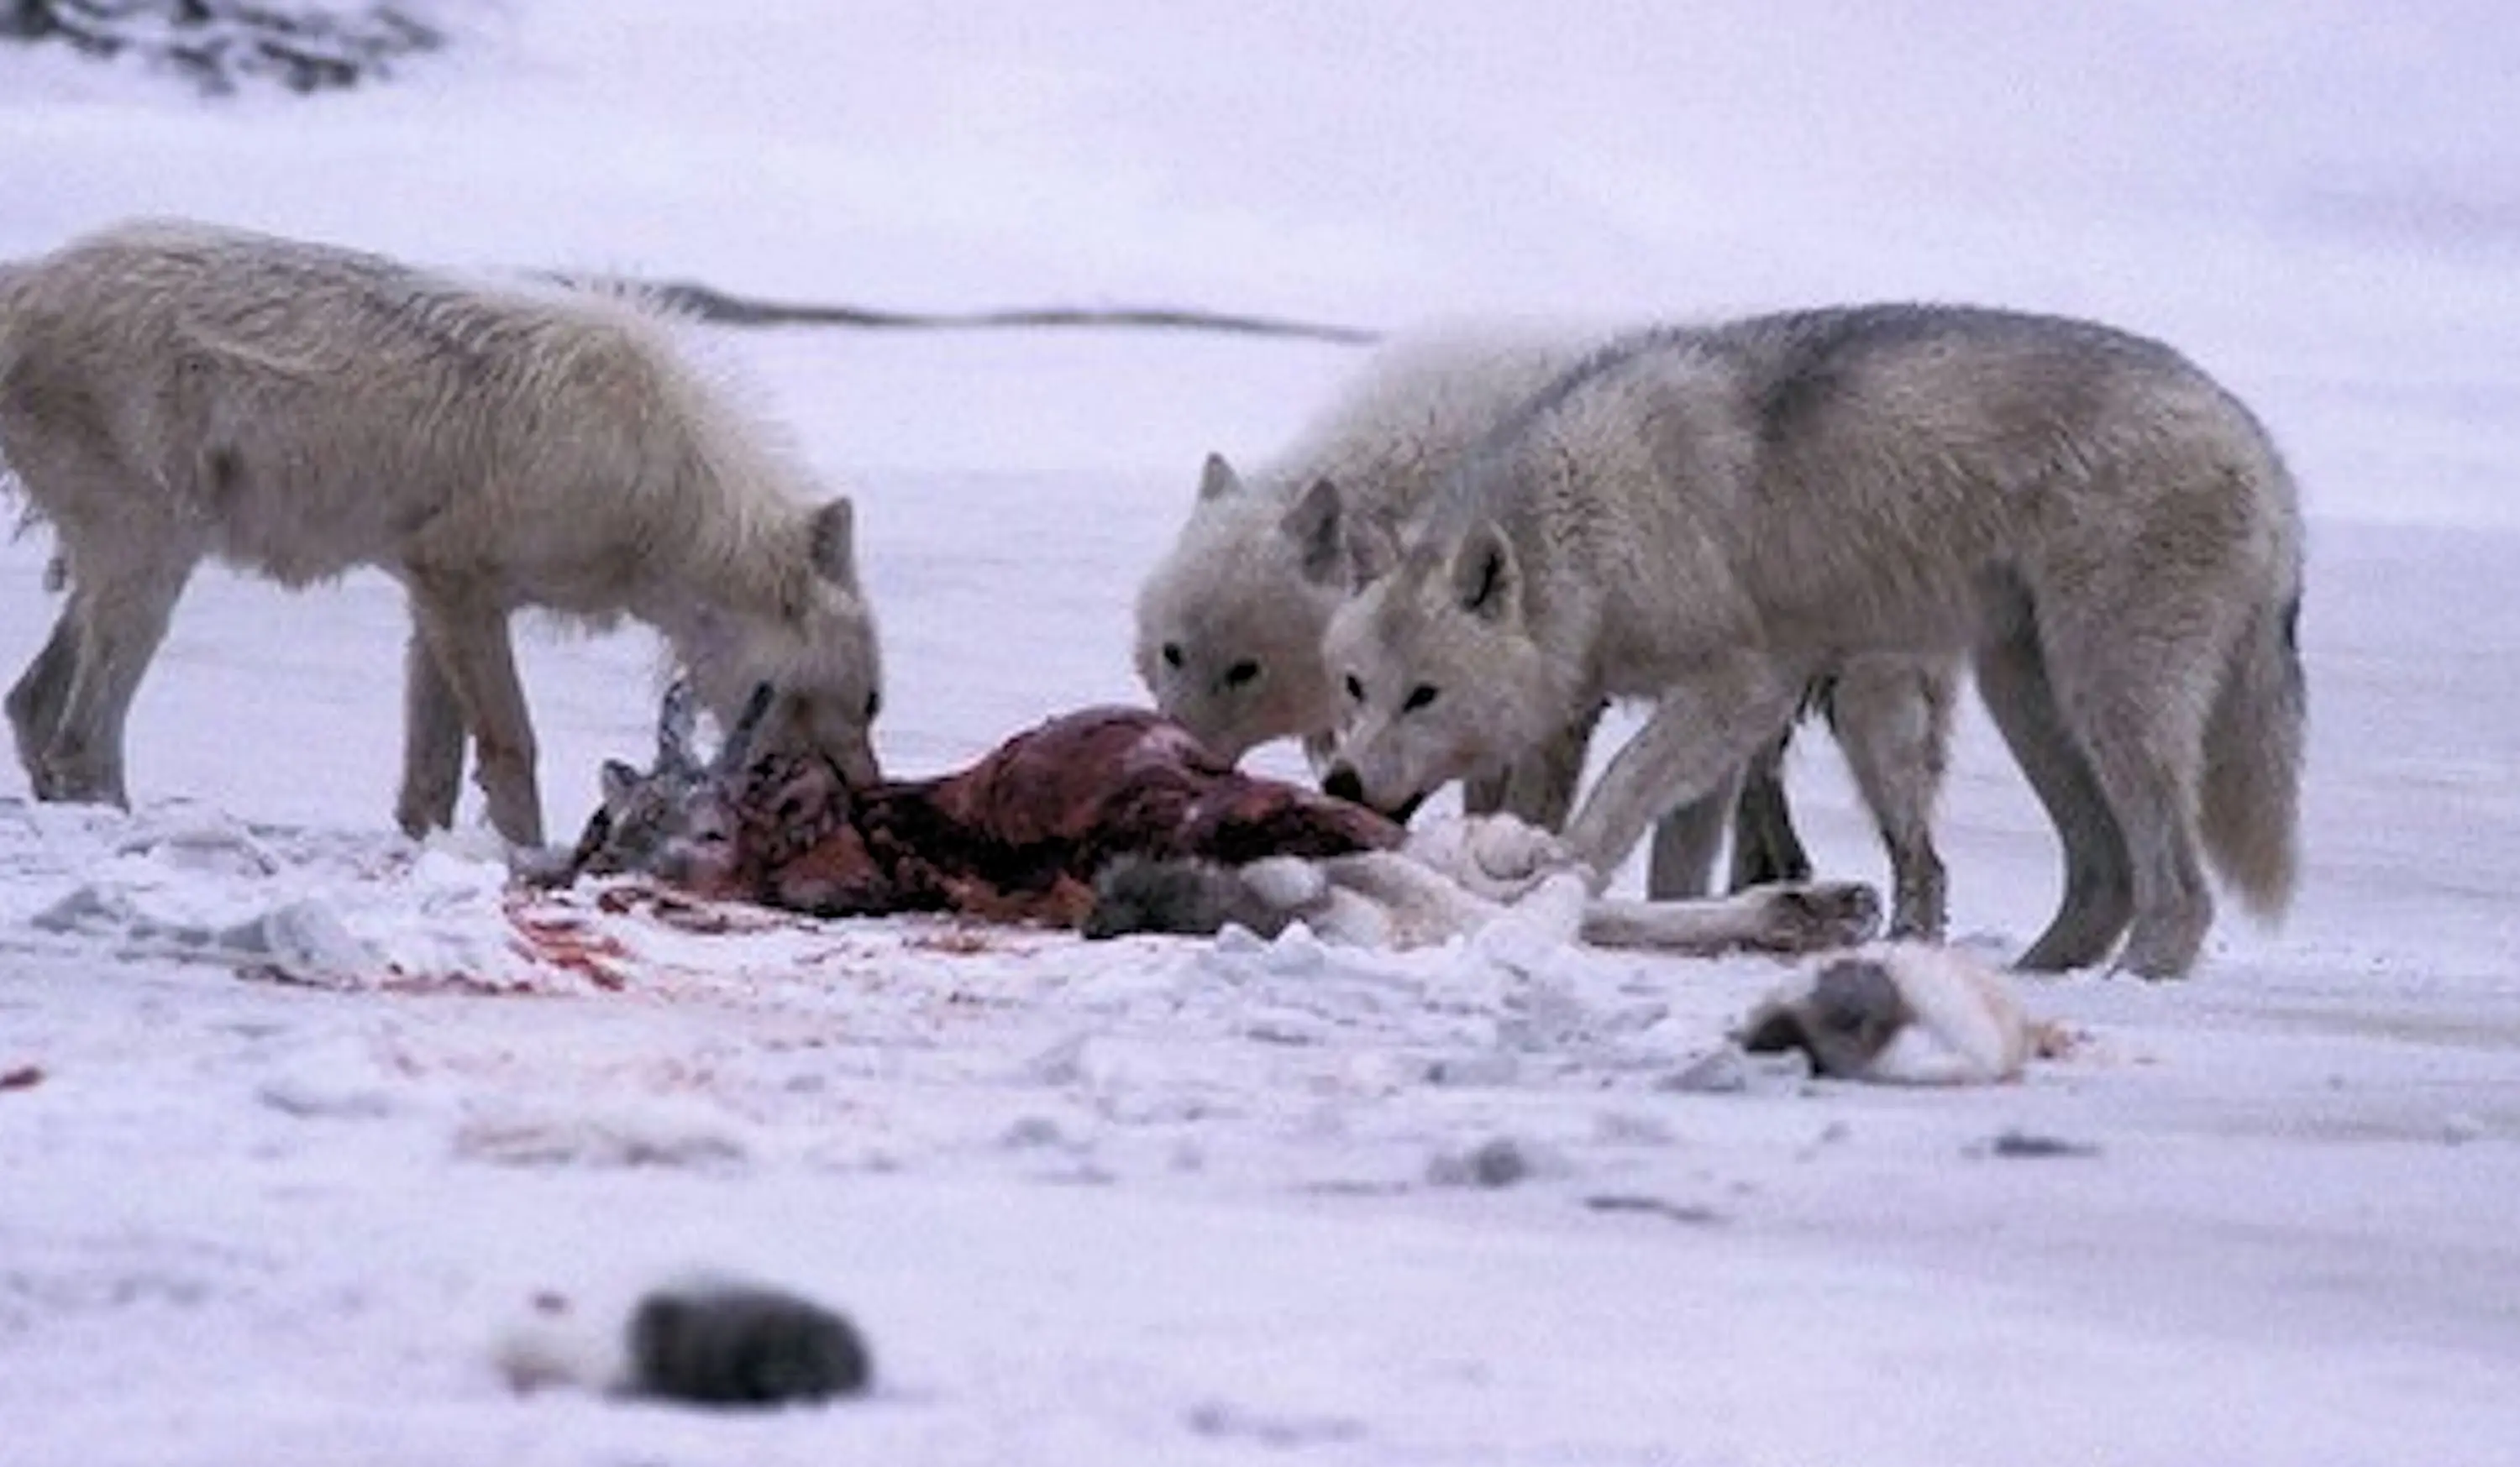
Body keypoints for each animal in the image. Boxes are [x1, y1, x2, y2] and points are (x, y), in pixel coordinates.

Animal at [0, 218, 882, 847]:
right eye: (870, 702)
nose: (871, 796)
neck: (666, 500)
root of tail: (25, 281)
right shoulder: (458, 584)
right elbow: (512, 748)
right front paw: (530, 862)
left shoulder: (434, 599)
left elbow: (432, 776)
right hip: (152, 564)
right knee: (80, 735)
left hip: (134, 566)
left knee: (32, 703)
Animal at [1319, 306, 2307, 979]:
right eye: (1356, 686)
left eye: (1425, 694)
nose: (1341, 786)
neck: (1586, 527)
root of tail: (2260, 444)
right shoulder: (1691, 727)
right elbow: (1672, 863)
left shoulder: (1742, 687)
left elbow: (1619, 792)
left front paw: (1554, 881)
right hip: (2019, 698)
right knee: (2097, 874)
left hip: (2094, 699)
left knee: (2175, 885)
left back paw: (2132, 978)